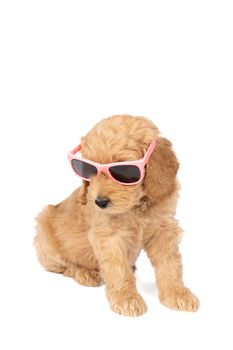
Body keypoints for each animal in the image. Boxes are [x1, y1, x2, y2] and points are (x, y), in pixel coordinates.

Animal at [34, 115, 198, 318]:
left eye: (123, 171)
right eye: (89, 170)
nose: (100, 202)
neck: (136, 206)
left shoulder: (164, 228)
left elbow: (170, 263)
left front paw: (177, 293)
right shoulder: (109, 236)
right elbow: (118, 269)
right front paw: (127, 299)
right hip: (45, 235)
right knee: (65, 268)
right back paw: (86, 273)